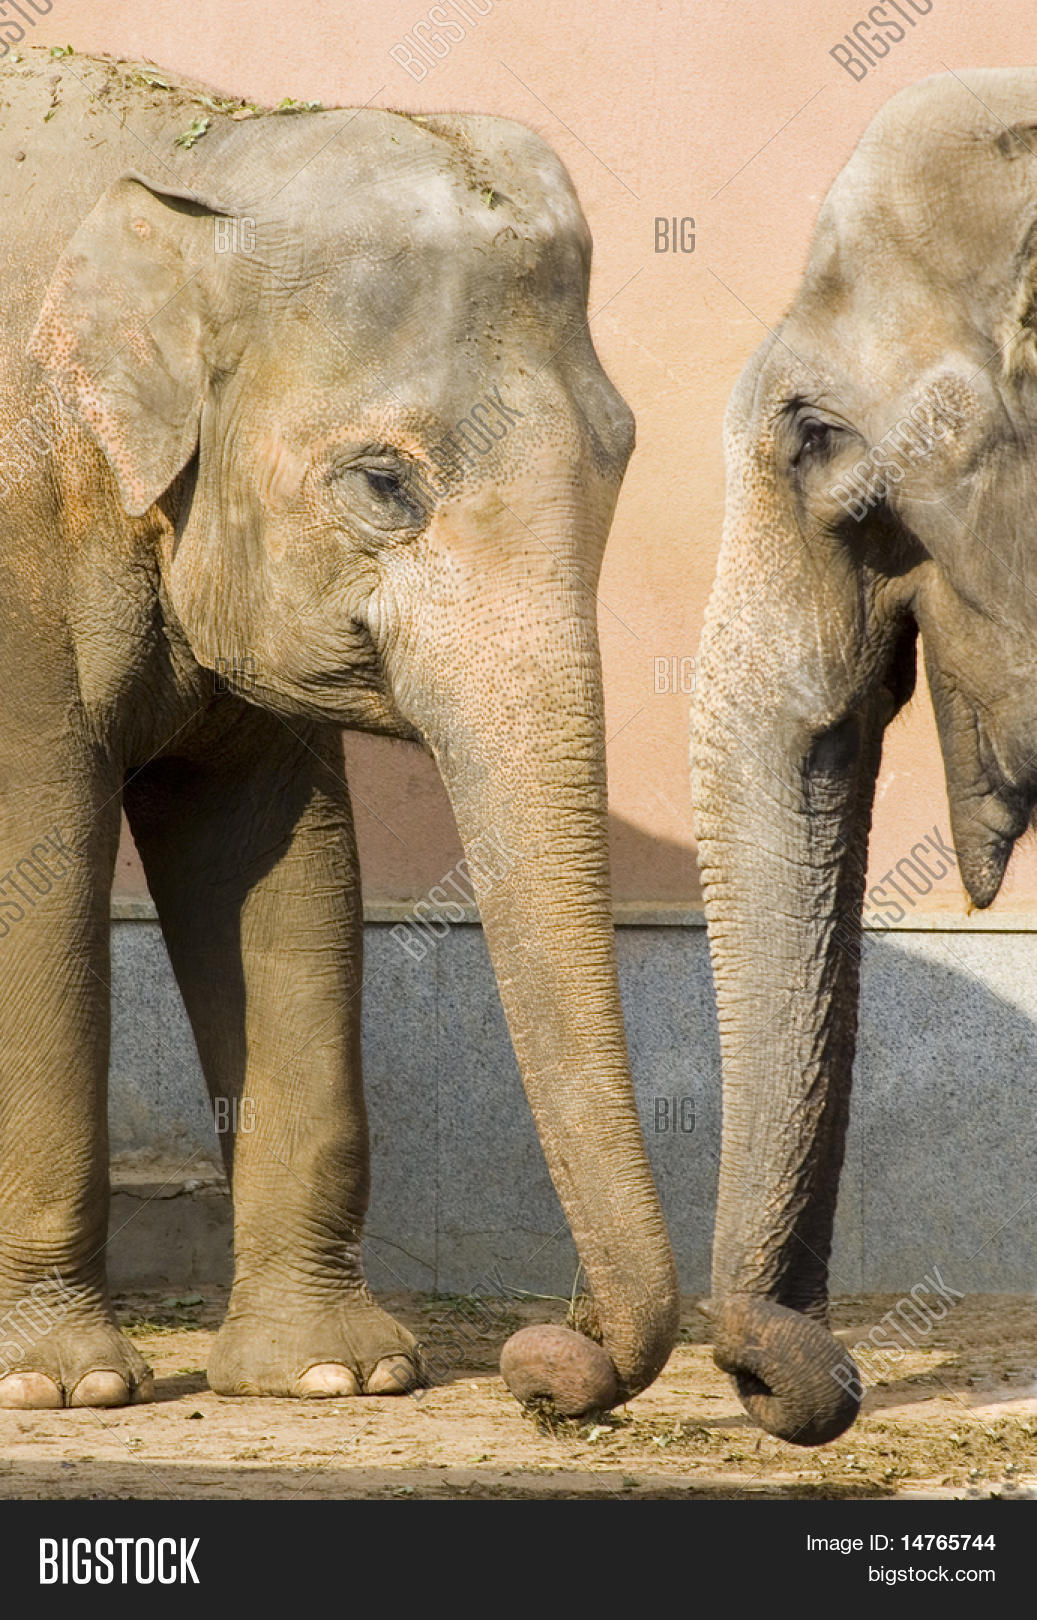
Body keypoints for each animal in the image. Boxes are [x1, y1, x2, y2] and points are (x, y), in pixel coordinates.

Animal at [0, 47, 679, 1412]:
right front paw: (61, 1387)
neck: (187, 167)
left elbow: (284, 876)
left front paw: (333, 1375)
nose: (549, 1360)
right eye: (382, 483)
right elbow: (37, 869)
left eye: (620, 452)